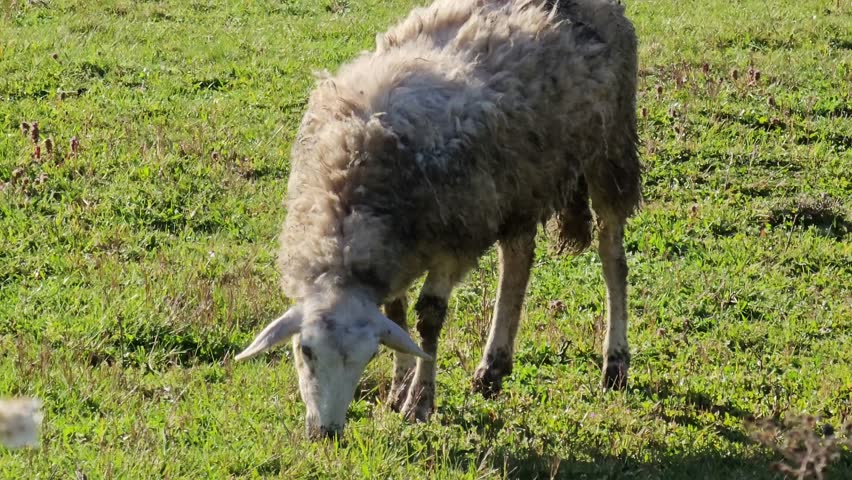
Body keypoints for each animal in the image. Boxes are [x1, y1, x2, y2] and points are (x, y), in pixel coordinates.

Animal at [236, 0, 641, 439]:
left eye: (365, 358)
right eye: (304, 350)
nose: (326, 432)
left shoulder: (453, 242)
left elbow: (429, 319)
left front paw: (419, 401)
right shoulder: (396, 250)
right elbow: (395, 315)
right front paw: (398, 389)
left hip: (610, 148)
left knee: (612, 258)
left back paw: (615, 363)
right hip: (518, 183)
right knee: (518, 261)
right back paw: (492, 367)